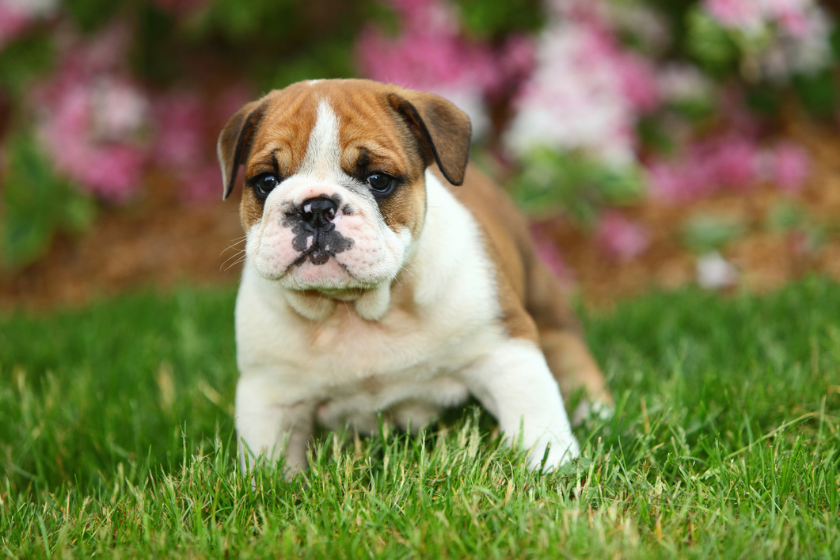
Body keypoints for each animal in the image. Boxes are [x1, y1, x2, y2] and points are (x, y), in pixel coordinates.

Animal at [217, 79, 612, 474]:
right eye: (266, 181)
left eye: (378, 180)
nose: (316, 207)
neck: (354, 309)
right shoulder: (269, 393)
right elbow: (267, 458)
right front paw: (274, 482)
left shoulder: (503, 351)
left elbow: (536, 417)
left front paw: (554, 467)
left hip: (543, 300)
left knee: (568, 347)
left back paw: (596, 410)